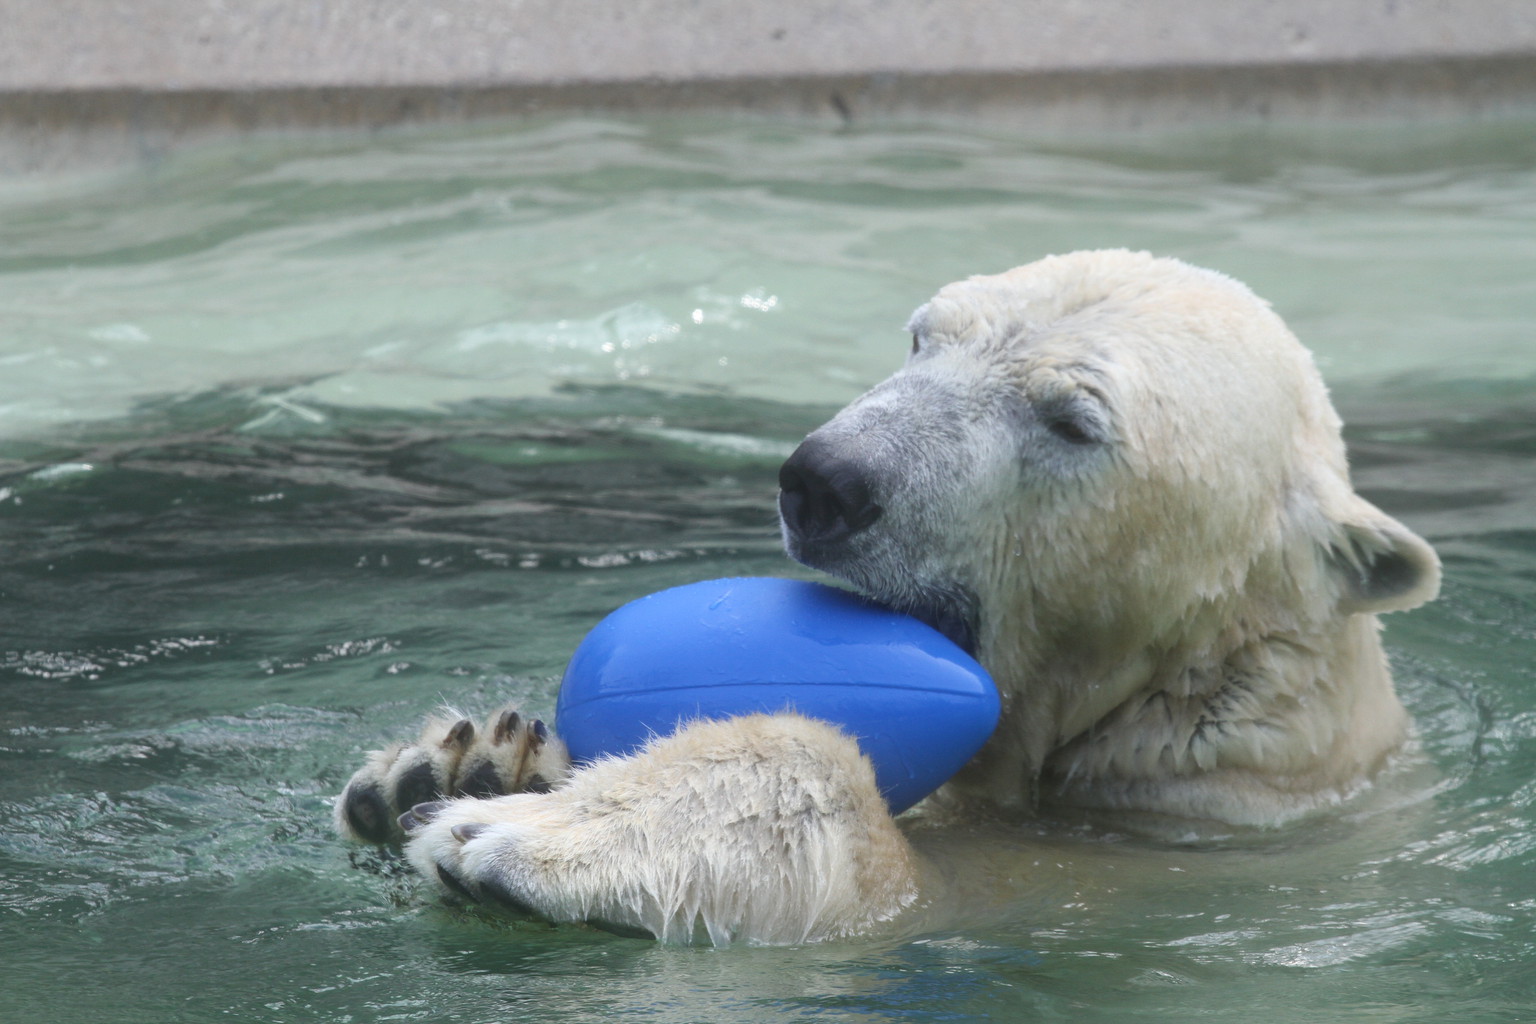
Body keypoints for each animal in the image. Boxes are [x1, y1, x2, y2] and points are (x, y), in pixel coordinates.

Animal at [335, 249, 1440, 944]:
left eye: (1071, 419)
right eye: (922, 336)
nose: (825, 478)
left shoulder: (1148, 867)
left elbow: (906, 879)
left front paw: (511, 833)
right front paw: (466, 765)